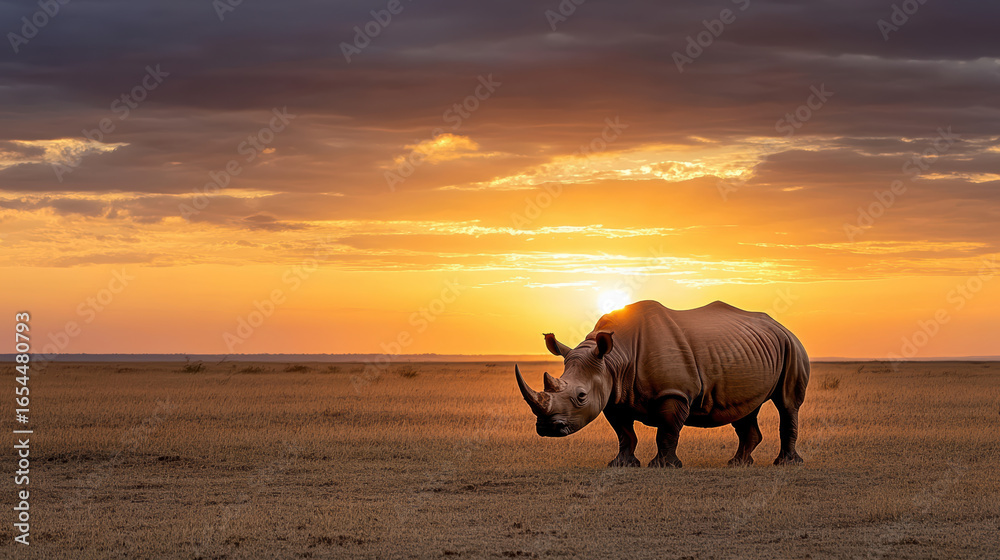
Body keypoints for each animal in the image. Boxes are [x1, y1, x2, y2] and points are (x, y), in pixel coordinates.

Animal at [515, 300, 809, 468]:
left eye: (581, 396)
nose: (547, 428)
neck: (613, 360)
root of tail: (781, 326)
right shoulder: (614, 395)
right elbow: (624, 433)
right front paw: (620, 465)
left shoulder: (674, 393)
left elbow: (667, 430)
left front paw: (663, 466)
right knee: (745, 409)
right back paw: (738, 464)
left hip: (792, 347)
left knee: (787, 404)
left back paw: (785, 464)